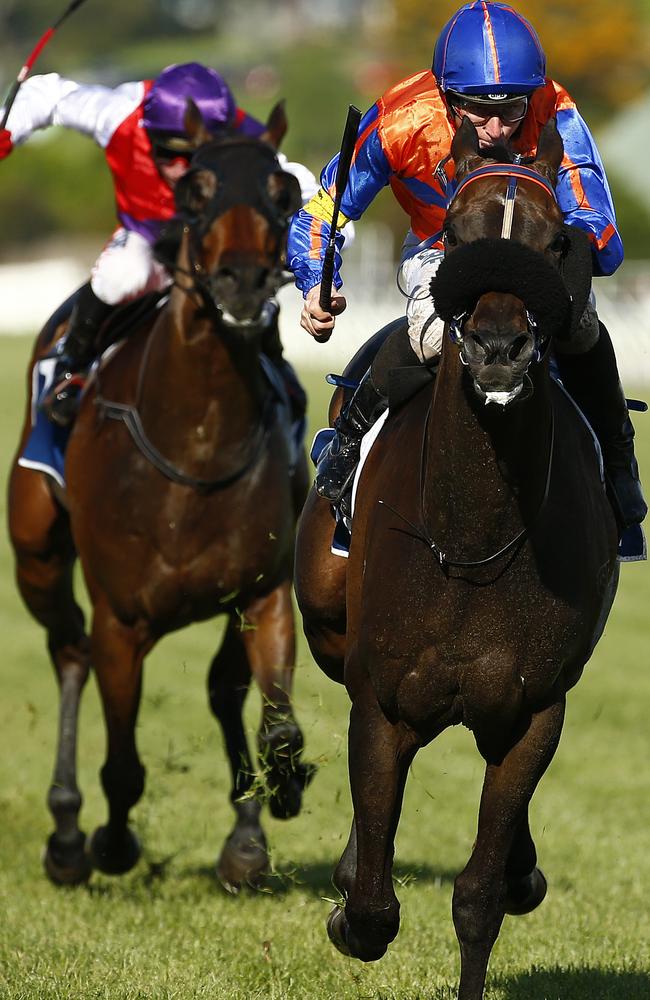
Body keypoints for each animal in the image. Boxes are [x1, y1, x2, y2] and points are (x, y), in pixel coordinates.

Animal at [8, 105, 314, 896]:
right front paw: (109, 843)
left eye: (283, 191)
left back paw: (245, 836)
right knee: (69, 652)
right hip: (37, 557)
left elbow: (277, 724)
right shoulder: (122, 619)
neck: (195, 446)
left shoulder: (264, 592)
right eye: (195, 190)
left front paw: (277, 795)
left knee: (222, 689)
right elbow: (122, 763)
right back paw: (66, 833)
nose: (243, 282)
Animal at [292, 119, 616, 1000]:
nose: (500, 347)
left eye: (556, 239)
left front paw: (508, 875)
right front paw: (348, 900)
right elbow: (371, 906)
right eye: (460, 233)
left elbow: (478, 897)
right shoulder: (383, 702)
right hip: (326, 618)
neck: (472, 536)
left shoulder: (534, 709)